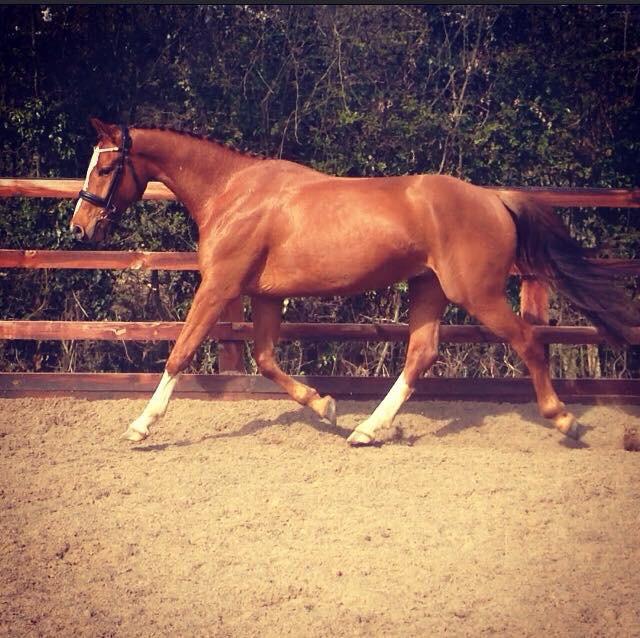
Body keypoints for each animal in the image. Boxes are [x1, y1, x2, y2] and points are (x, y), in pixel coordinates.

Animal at [70, 118, 638, 446]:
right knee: (421, 355)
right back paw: (367, 430)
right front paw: (325, 406)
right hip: (429, 289)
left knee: (529, 341)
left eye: (106, 168)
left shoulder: (219, 288)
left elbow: (180, 353)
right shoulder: (267, 297)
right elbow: (266, 360)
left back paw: (563, 420)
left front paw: (141, 426)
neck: (233, 193)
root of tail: (493, 197)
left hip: (475, 294)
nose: (80, 227)